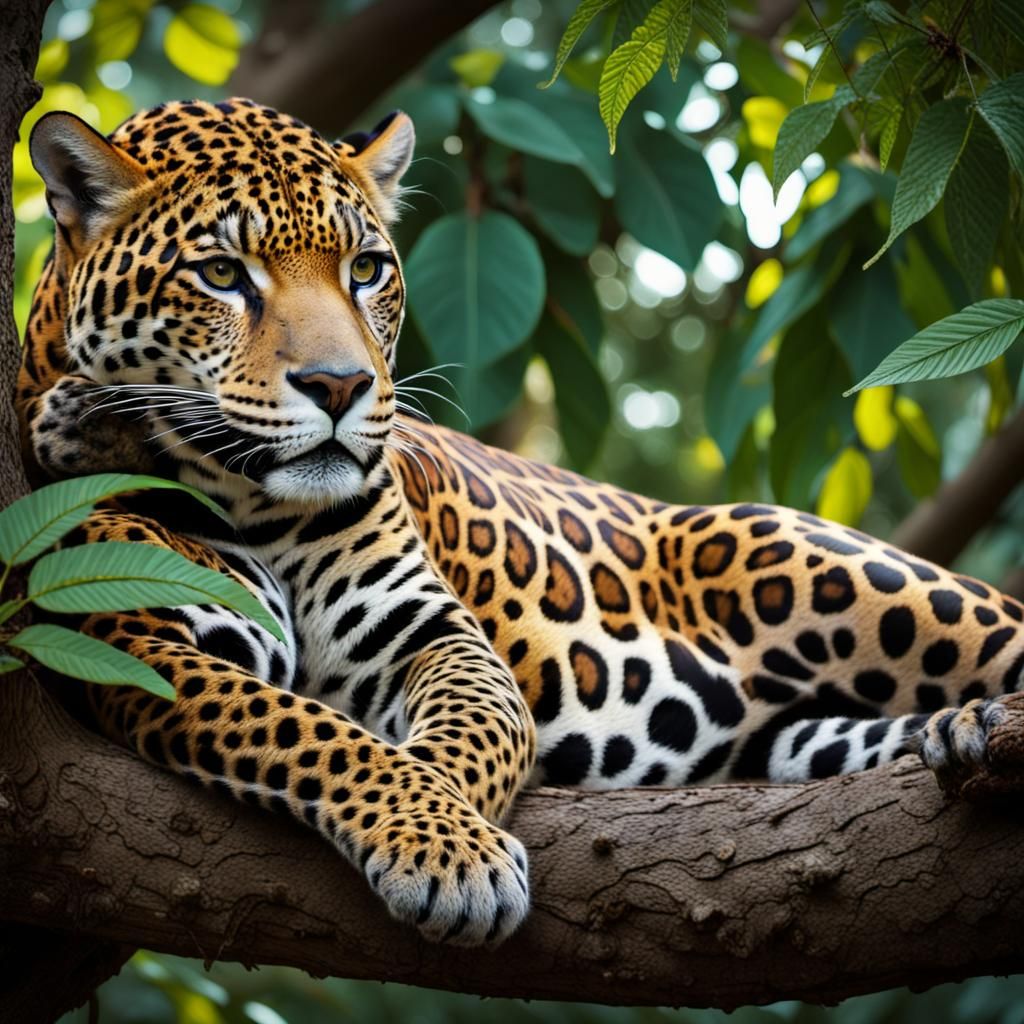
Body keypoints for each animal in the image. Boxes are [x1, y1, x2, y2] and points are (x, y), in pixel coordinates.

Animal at [15, 97, 1024, 948]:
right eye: (223, 273)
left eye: (366, 270)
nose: (342, 388)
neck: (254, 501)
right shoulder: (143, 646)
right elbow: (308, 731)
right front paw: (446, 847)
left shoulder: (429, 634)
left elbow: (465, 736)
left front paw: (444, 835)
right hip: (790, 733)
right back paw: (961, 733)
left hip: (807, 558)